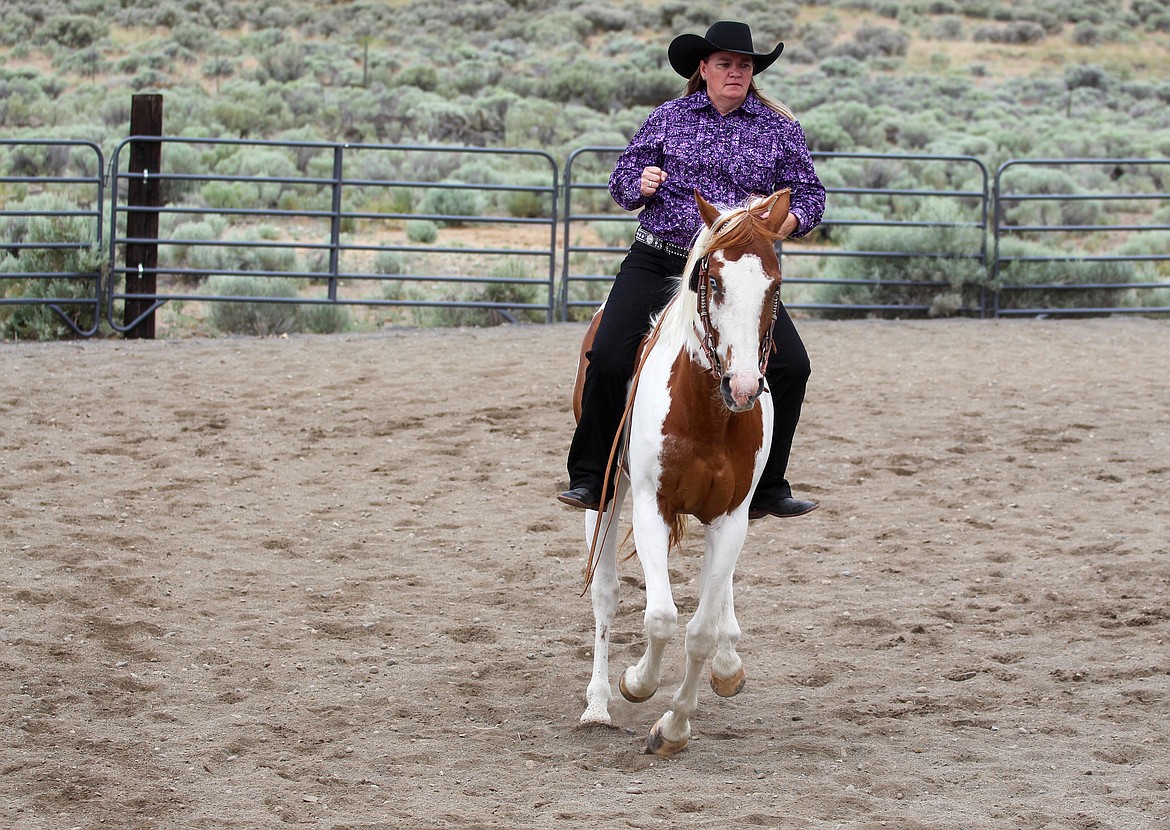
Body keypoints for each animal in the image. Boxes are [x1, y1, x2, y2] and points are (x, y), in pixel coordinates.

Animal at [572, 188, 791, 756]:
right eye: (712, 281)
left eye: (774, 284)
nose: (743, 387)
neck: (708, 414)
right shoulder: (652, 505)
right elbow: (661, 617)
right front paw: (637, 684)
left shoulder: (732, 516)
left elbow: (700, 630)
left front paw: (673, 727)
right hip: (607, 494)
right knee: (606, 594)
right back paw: (598, 705)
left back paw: (728, 663)